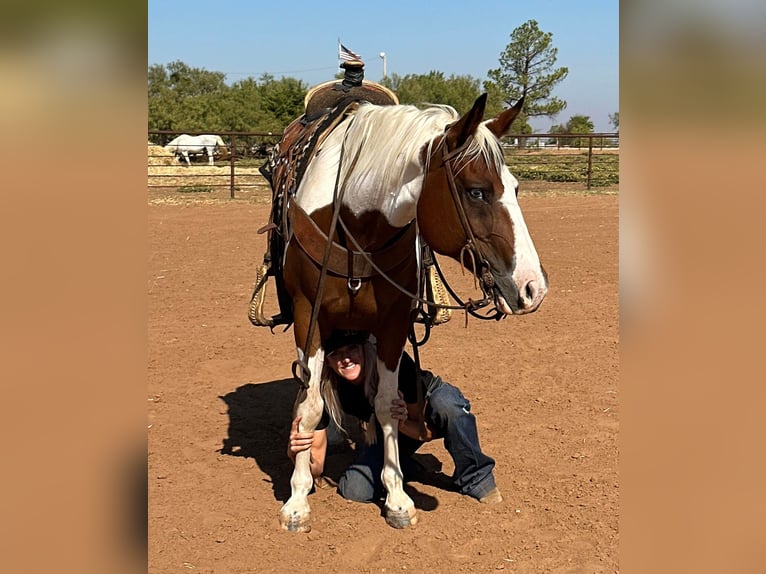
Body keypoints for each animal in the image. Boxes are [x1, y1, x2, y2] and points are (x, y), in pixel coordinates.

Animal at [272, 92, 548, 532]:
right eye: (477, 192)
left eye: (516, 188)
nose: (532, 287)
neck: (354, 227)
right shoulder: (307, 318)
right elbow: (310, 405)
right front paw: (297, 501)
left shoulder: (392, 322)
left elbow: (388, 402)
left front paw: (397, 497)